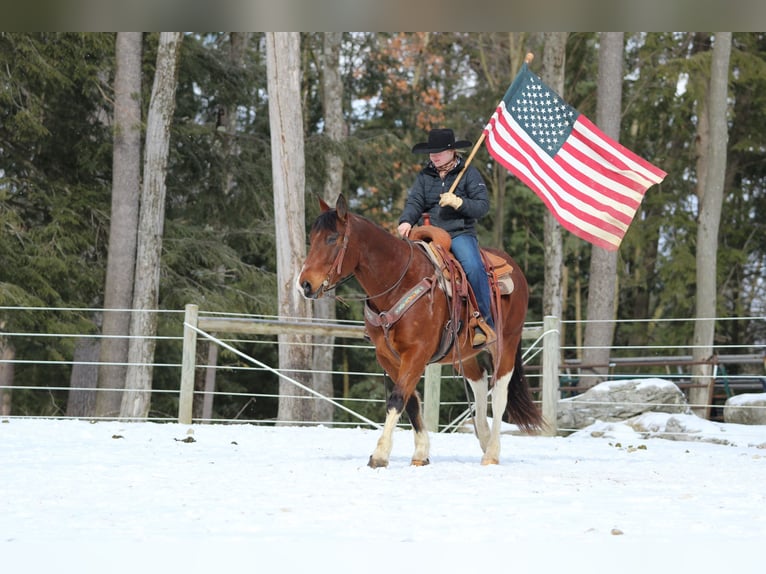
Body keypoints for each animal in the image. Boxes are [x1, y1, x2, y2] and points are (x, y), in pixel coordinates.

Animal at [296, 194, 544, 468]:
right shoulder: (387, 356)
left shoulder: (417, 353)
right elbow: (411, 401)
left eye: (332, 238)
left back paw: (491, 452)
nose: (304, 284)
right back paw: (484, 437)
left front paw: (380, 454)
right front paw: (421, 452)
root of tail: (515, 270)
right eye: (312, 238)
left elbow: (397, 398)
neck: (398, 281)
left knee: (499, 390)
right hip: (464, 351)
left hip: (506, 343)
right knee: (479, 381)